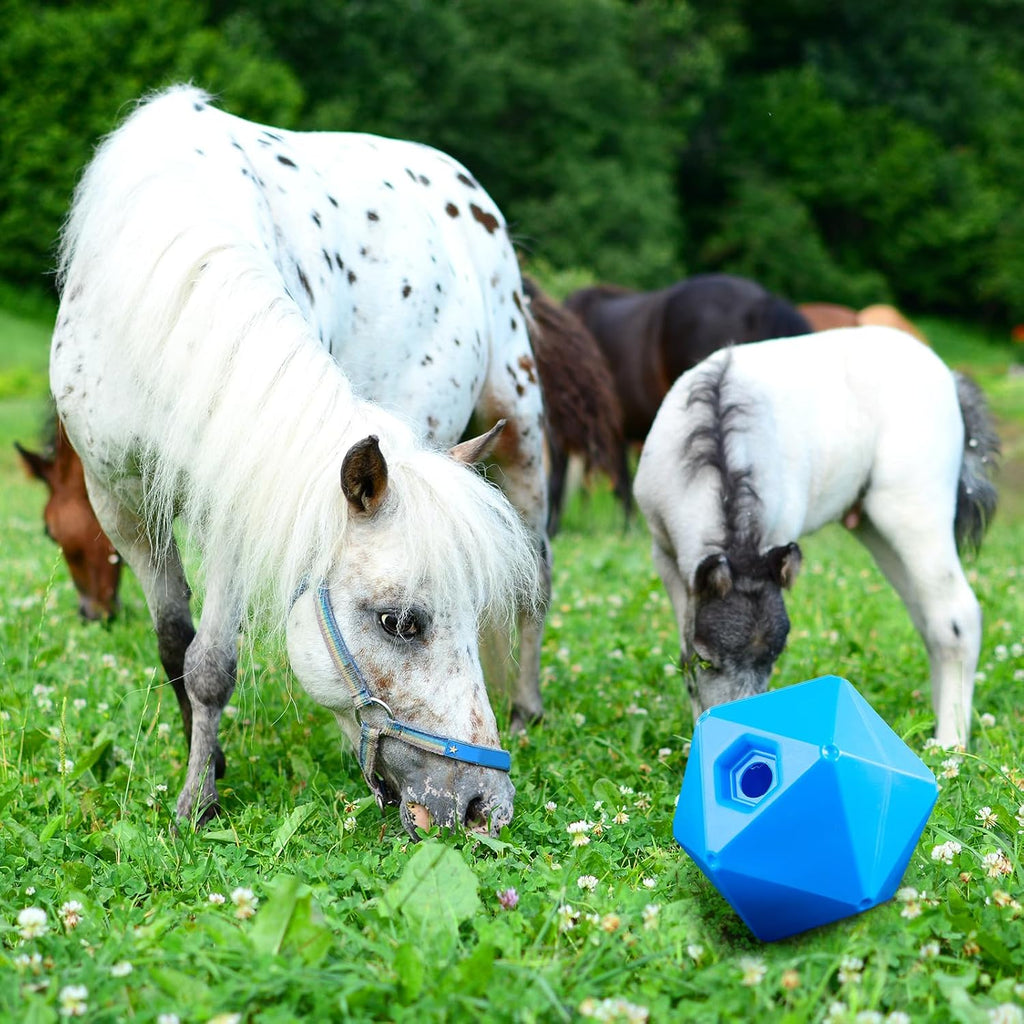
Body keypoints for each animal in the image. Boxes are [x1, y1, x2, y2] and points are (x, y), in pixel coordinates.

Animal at [51, 85, 552, 837]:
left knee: (538, 581)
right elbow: (176, 646)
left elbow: (211, 663)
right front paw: (206, 773)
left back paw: (526, 709)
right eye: (400, 622)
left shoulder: (237, 502)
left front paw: (197, 800)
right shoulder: (122, 506)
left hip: (520, 427)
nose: (482, 807)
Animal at [633, 326, 998, 749]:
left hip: (914, 511)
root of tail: (951, 380)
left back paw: (951, 742)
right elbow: (685, 655)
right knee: (928, 620)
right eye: (710, 658)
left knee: (955, 616)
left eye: (774, 659)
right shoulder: (665, 555)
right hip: (875, 528)